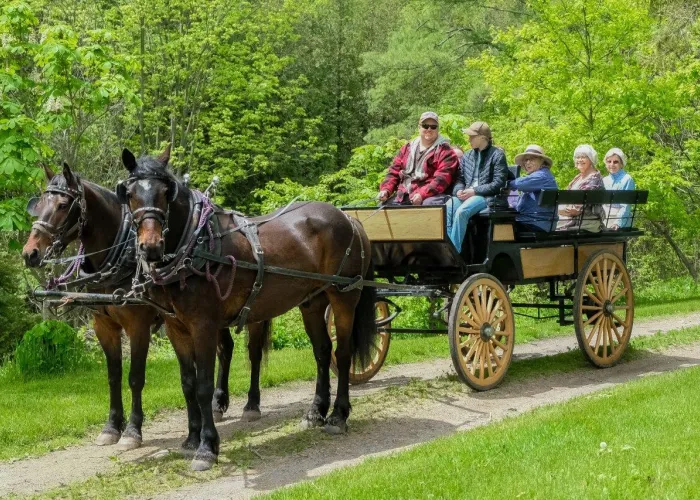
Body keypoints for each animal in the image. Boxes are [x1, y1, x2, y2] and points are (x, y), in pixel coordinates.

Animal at [21, 163, 235, 450]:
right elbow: (114, 376)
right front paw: (112, 426)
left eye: (63, 205)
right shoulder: (104, 326)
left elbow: (135, 377)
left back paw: (220, 402)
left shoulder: (138, 326)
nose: (30, 253)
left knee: (226, 349)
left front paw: (133, 430)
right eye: (41, 203)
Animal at [119, 146, 378, 470]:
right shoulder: (176, 327)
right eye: (129, 194)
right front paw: (191, 439)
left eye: (166, 192)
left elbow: (204, 386)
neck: (195, 246)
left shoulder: (204, 325)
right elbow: (188, 384)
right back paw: (316, 411)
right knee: (322, 352)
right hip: (312, 302)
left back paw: (338, 416)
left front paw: (207, 446)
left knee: (341, 354)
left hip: (344, 296)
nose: (151, 247)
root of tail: (348, 218)